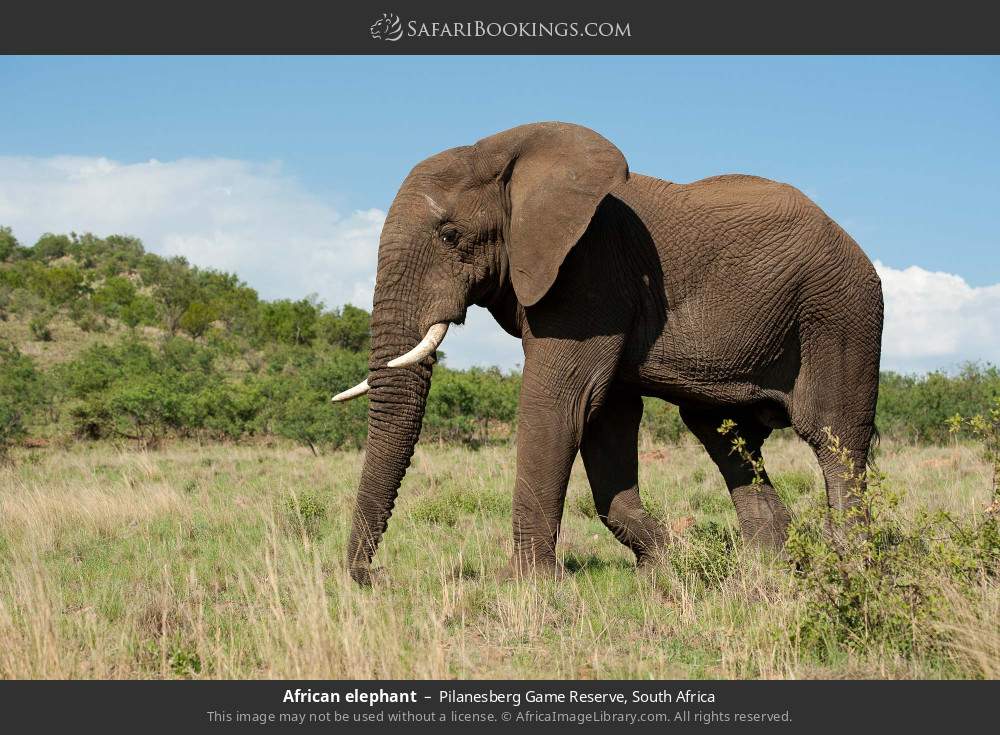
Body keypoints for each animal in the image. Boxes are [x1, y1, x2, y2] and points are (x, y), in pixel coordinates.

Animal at [333, 121, 883, 585]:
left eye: (450, 235)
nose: (374, 578)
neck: (503, 153)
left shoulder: (588, 274)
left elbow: (559, 404)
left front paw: (526, 585)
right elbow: (606, 417)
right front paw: (664, 566)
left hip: (841, 313)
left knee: (834, 435)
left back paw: (851, 569)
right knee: (724, 436)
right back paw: (767, 570)